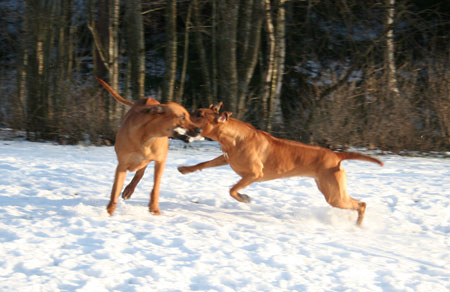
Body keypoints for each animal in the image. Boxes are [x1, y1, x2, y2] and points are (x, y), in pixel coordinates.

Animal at [97, 78, 201, 216]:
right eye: (182, 117)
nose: (199, 130)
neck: (147, 138)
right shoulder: (122, 165)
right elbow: (115, 190)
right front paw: (109, 212)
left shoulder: (160, 161)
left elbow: (155, 187)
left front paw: (154, 209)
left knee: (140, 172)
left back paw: (129, 190)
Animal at [178, 102, 384, 226]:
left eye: (199, 114)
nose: (184, 113)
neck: (233, 138)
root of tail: (336, 154)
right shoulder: (226, 158)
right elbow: (203, 163)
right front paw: (185, 169)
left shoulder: (254, 174)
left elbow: (232, 190)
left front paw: (244, 198)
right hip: (332, 190)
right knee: (358, 203)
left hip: (334, 195)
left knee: (361, 204)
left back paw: (358, 225)